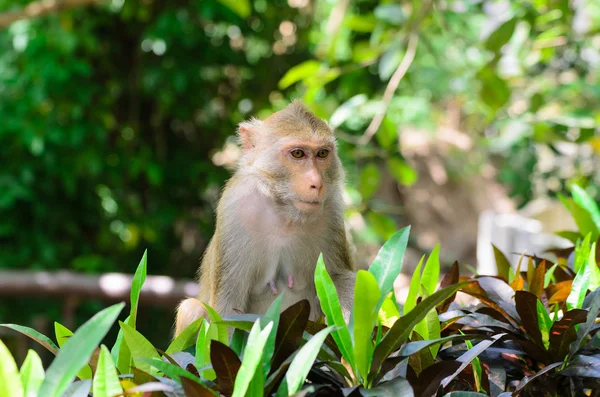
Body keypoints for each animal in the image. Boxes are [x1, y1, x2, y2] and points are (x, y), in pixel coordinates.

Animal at [172, 100, 356, 338]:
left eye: (322, 153)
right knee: (192, 308)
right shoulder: (235, 206)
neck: (284, 210)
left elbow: (338, 278)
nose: (317, 183)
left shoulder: (332, 210)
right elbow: (228, 305)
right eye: (298, 154)